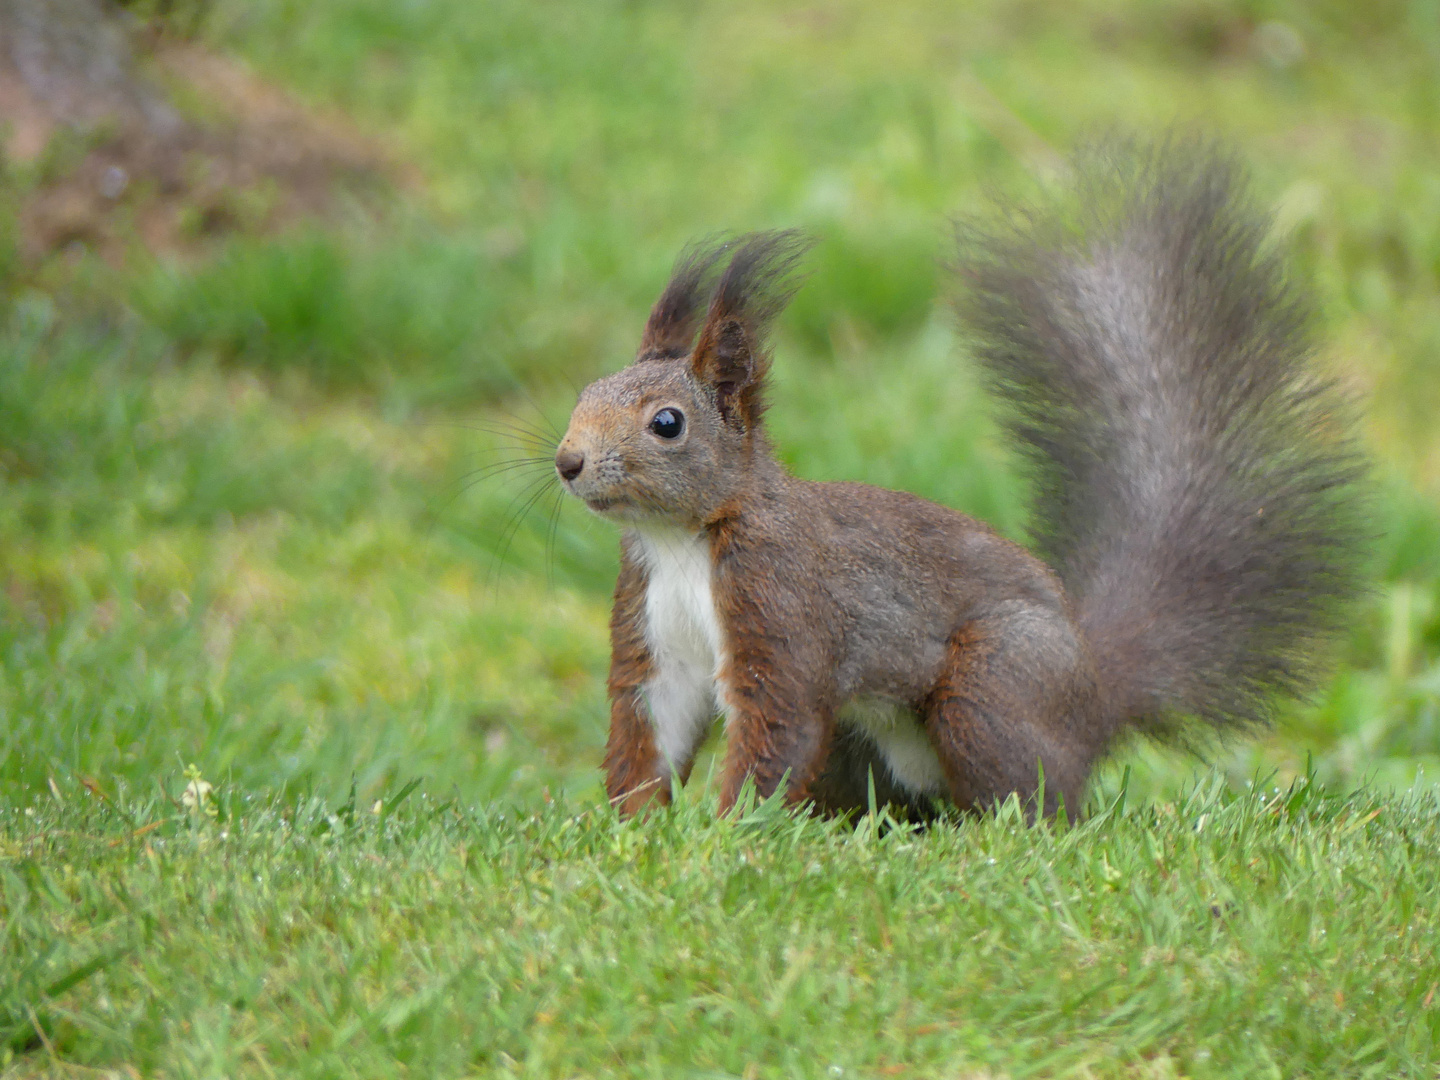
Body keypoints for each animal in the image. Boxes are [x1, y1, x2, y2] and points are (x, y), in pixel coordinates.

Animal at [547, 141, 1359, 817]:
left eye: (668, 423)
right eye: (585, 391)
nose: (567, 461)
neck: (681, 539)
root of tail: (1097, 694)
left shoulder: (783, 607)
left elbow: (775, 727)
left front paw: (726, 836)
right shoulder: (654, 631)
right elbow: (650, 727)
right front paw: (631, 833)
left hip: (995, 684)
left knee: (1038, 802)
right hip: (862, 746)